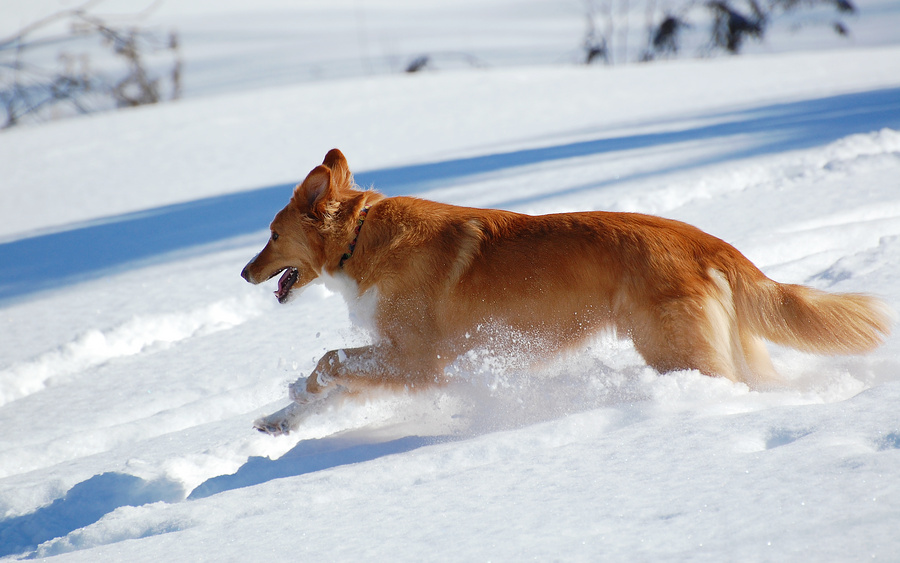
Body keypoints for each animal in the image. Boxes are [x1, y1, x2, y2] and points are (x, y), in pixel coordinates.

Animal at [241, 150, 892, 436]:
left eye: (270, 235)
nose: (244, 273)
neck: (360, 236)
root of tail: (704, 241)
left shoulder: (418, 361)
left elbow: (328, 363)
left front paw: (298, 397)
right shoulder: (396, 357)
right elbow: (326, 383)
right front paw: (281, 419)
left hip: (675, 350)